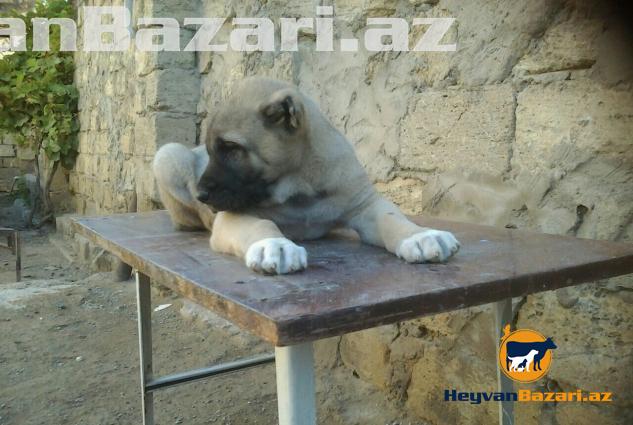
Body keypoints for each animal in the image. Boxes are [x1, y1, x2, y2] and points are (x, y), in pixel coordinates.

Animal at [153, 78, 460, 275]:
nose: (201, 195)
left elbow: (393, 219)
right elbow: (261, 224)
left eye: (231, 148)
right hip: (168, 155)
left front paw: (420, 236)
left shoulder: (365, 204)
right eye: (211, 151)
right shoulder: (233, 216)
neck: (299, 186)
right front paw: (275, 246)